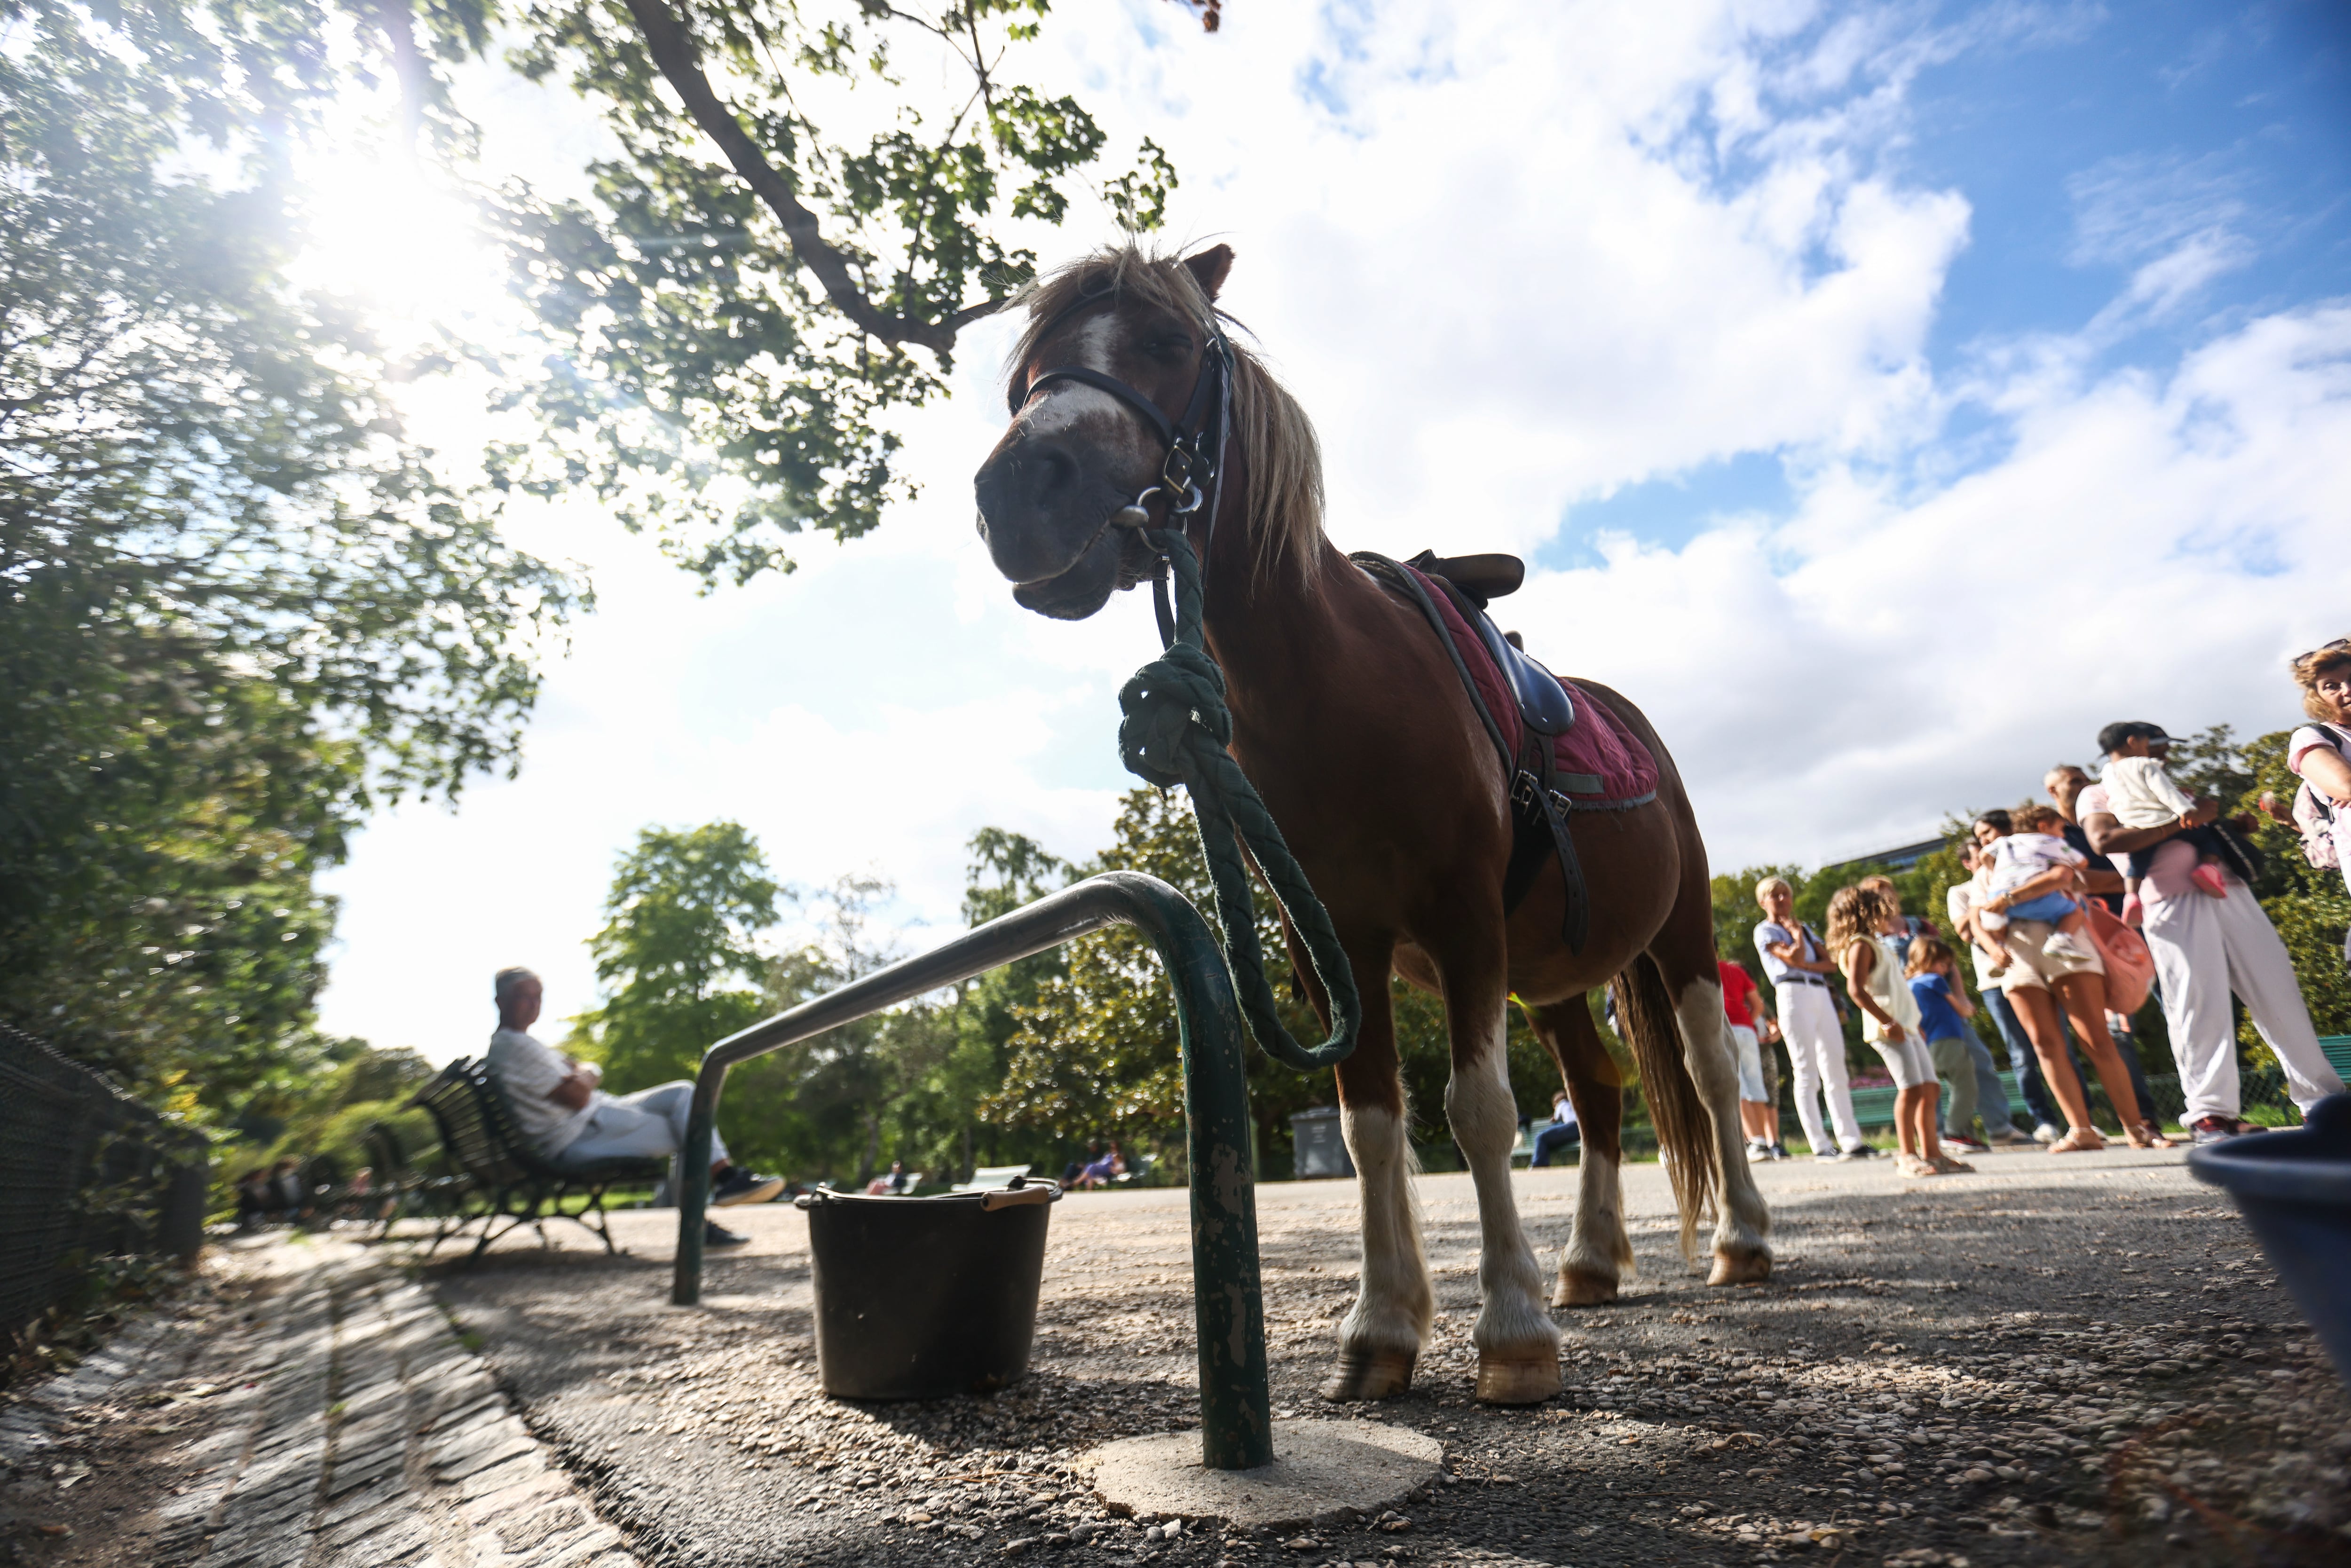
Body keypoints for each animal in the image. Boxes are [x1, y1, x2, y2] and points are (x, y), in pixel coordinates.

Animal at [969, 248, 1768, 1410]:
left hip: (1682, 936)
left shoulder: (1461, 912)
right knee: (1597, 1088)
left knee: (1711, 1075)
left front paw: (1511, 1330)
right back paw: (1587, 1261)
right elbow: (1370, 1123)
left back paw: (1741, 1241)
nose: (1020, 493)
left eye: (1167, 343)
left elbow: (1477, 1110)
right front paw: (1382, 1326)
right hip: (1554, 979)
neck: (1335, 685)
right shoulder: (1335, 942)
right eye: (1022, 378)